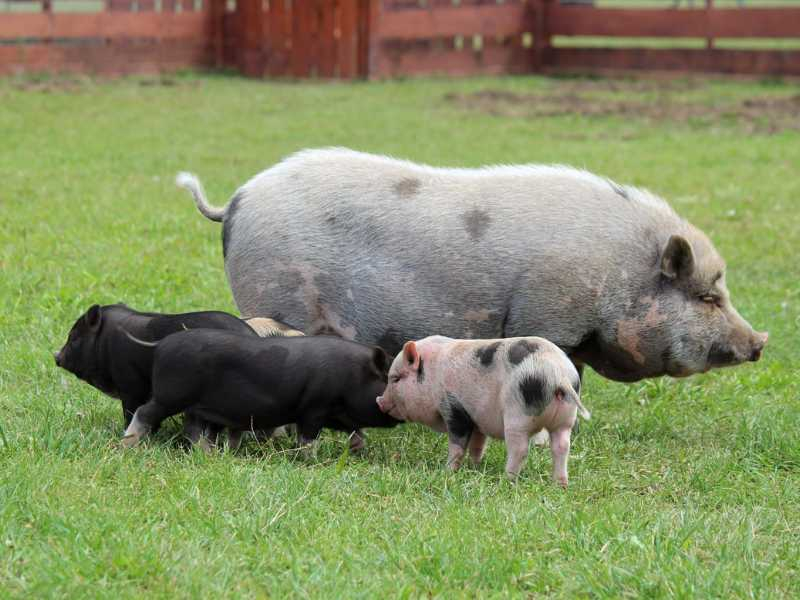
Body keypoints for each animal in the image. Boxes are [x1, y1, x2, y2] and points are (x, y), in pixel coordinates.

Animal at [177, 150, 768, 384]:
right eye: (707, 296)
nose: (761, 341)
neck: (618, 271)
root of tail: (236, 201)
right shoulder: (550, 317)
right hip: (276, 296)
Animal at [374, 336, 588, 486]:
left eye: (396, 379)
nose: (379, 402)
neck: (432, 378)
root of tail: (559, 375)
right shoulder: (477, 418)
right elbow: (478, 445)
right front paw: (474, 467)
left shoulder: (454, 408)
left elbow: (457, 445)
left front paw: (447, 471)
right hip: (565, 419)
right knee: (562, 446)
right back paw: (560, 485)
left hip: (518, 415)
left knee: (519, 449)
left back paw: (507, 480)